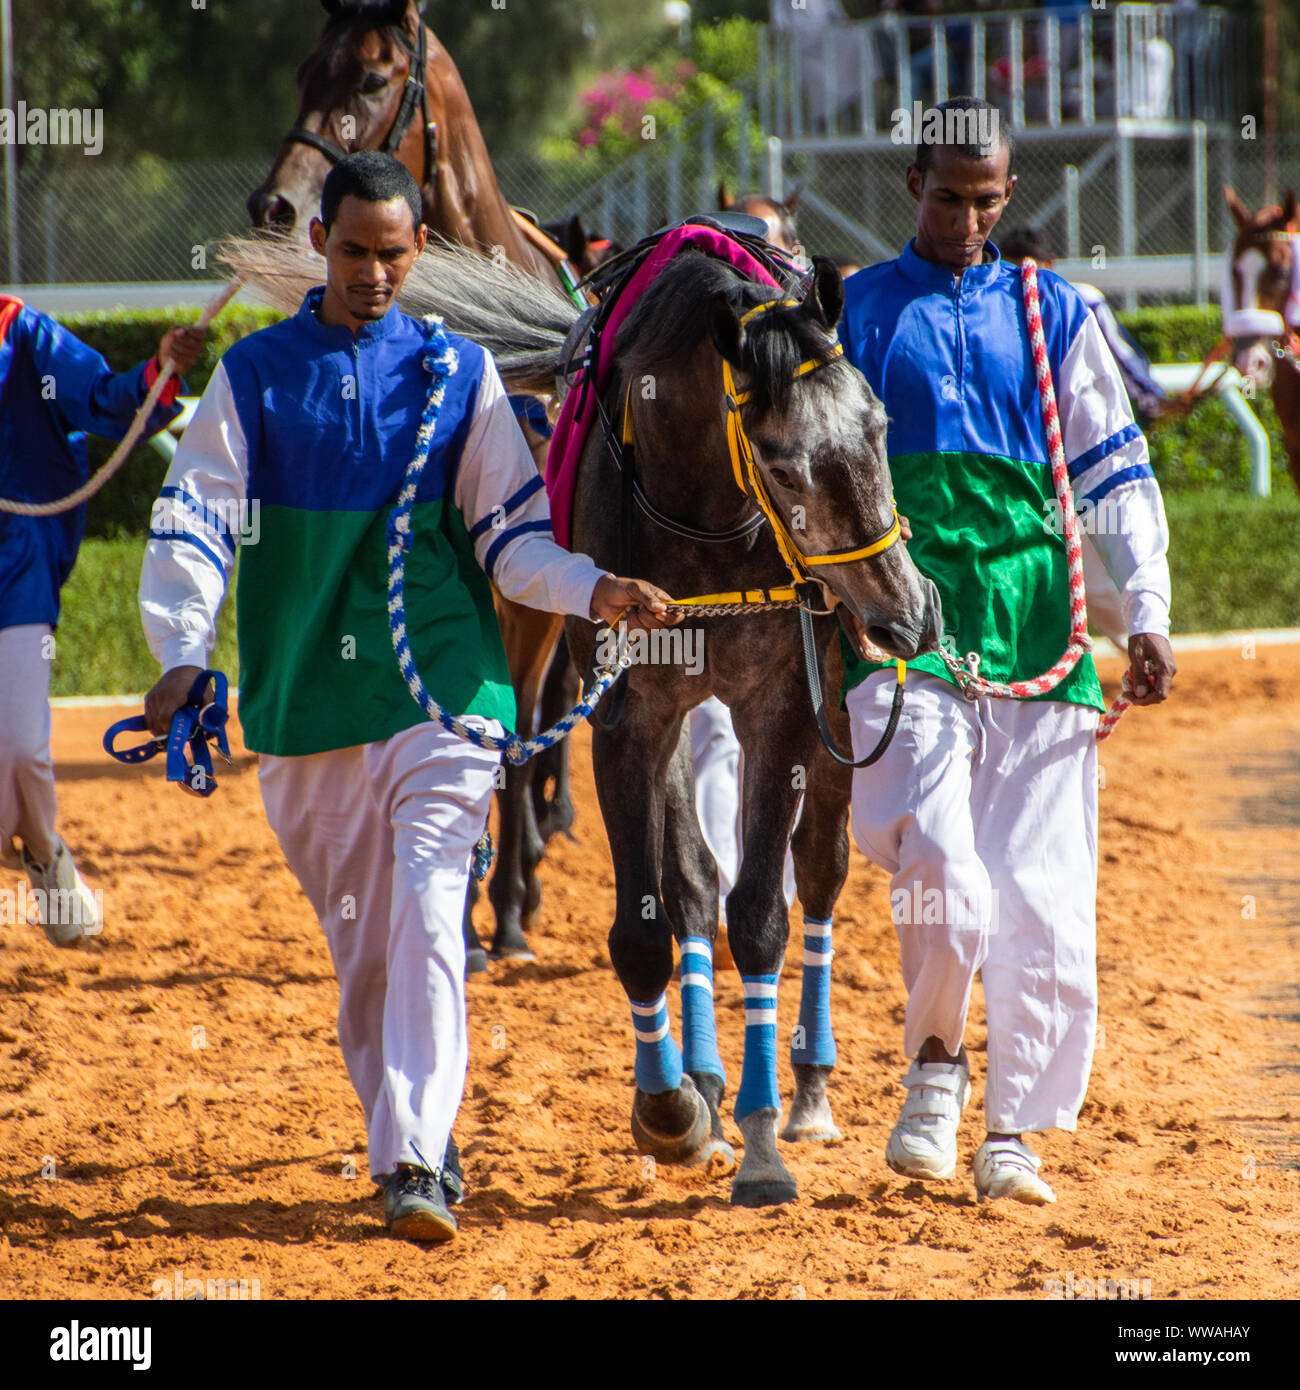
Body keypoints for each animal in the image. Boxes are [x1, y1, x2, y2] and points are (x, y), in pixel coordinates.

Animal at [250, 0, 575, 961]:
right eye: (303, 72)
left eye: (370, 77)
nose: (275, 203)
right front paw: (460, 911)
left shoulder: (533, 594)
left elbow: (516, 735)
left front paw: (507, 909)